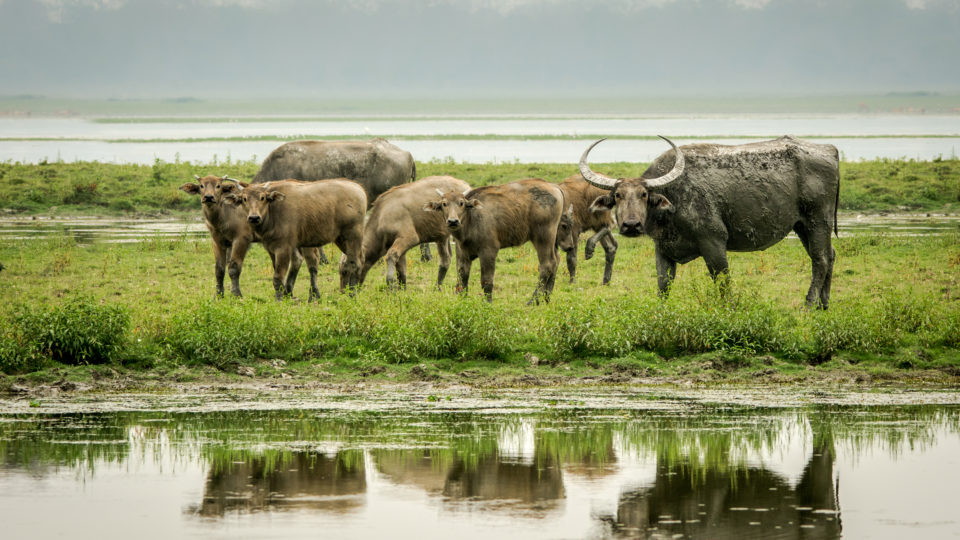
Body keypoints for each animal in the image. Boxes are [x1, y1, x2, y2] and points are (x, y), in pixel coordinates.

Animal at [579, 135, 839, 308]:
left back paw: (809, 304)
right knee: (830, 255)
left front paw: (727, 309)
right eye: (617, 196)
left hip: (818, 221)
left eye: (644, 195)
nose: (631, 225)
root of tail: (829, 149)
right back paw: (824, 304)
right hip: (802, 226)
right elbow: (664, 283)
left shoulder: (713, 242)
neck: (674, 199)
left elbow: (722, 280)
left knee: (820, 259)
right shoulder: (663, 248)